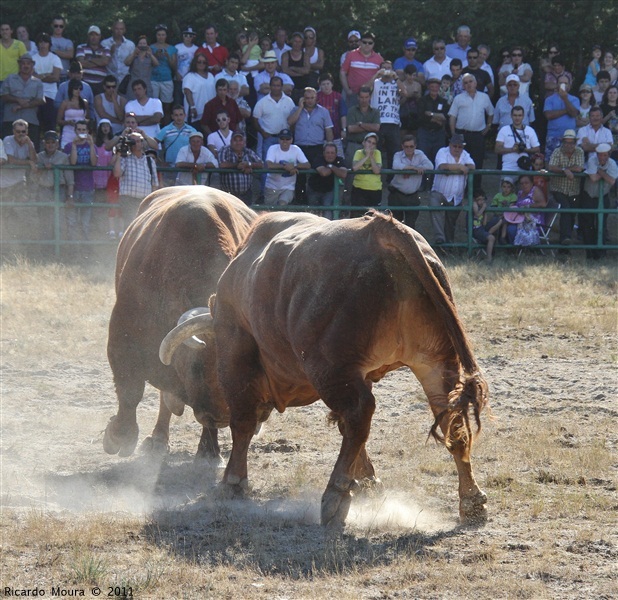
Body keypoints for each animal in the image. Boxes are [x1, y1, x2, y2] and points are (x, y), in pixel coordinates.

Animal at [103, 188, 255, 460]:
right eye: (198, 367)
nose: (220, 417)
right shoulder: (122, 341)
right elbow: (130, 391)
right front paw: (119, 436)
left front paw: (209, 448)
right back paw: (158, 438)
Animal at [161, 212, 488, 528]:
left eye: (197, 368)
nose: (207, 415)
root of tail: (380, 230)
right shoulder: (361, 374)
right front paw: (369, 481)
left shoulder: (236, 351)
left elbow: (242, 422)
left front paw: (232, 482)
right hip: (434, 363)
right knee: (450, 421)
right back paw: (471, 499)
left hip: (331, 370)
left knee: (359, 413)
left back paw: (336, 493)